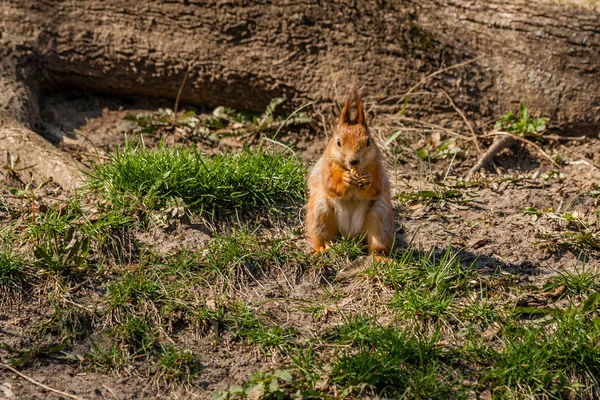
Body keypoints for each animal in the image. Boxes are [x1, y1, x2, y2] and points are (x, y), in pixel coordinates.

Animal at [304, 89, 394, 255]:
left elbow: (376, 186)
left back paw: (379, 256)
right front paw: (344, 179)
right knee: (322, 237)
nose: (354, 161)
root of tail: (350, 236)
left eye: (368, 141)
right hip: (320, 212)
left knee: (377, 241)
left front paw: (368, 180)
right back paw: (322, 249)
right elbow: (330, 185)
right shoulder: (326, 167)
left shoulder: (377, 167)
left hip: (380, 216)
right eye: (338, 142)